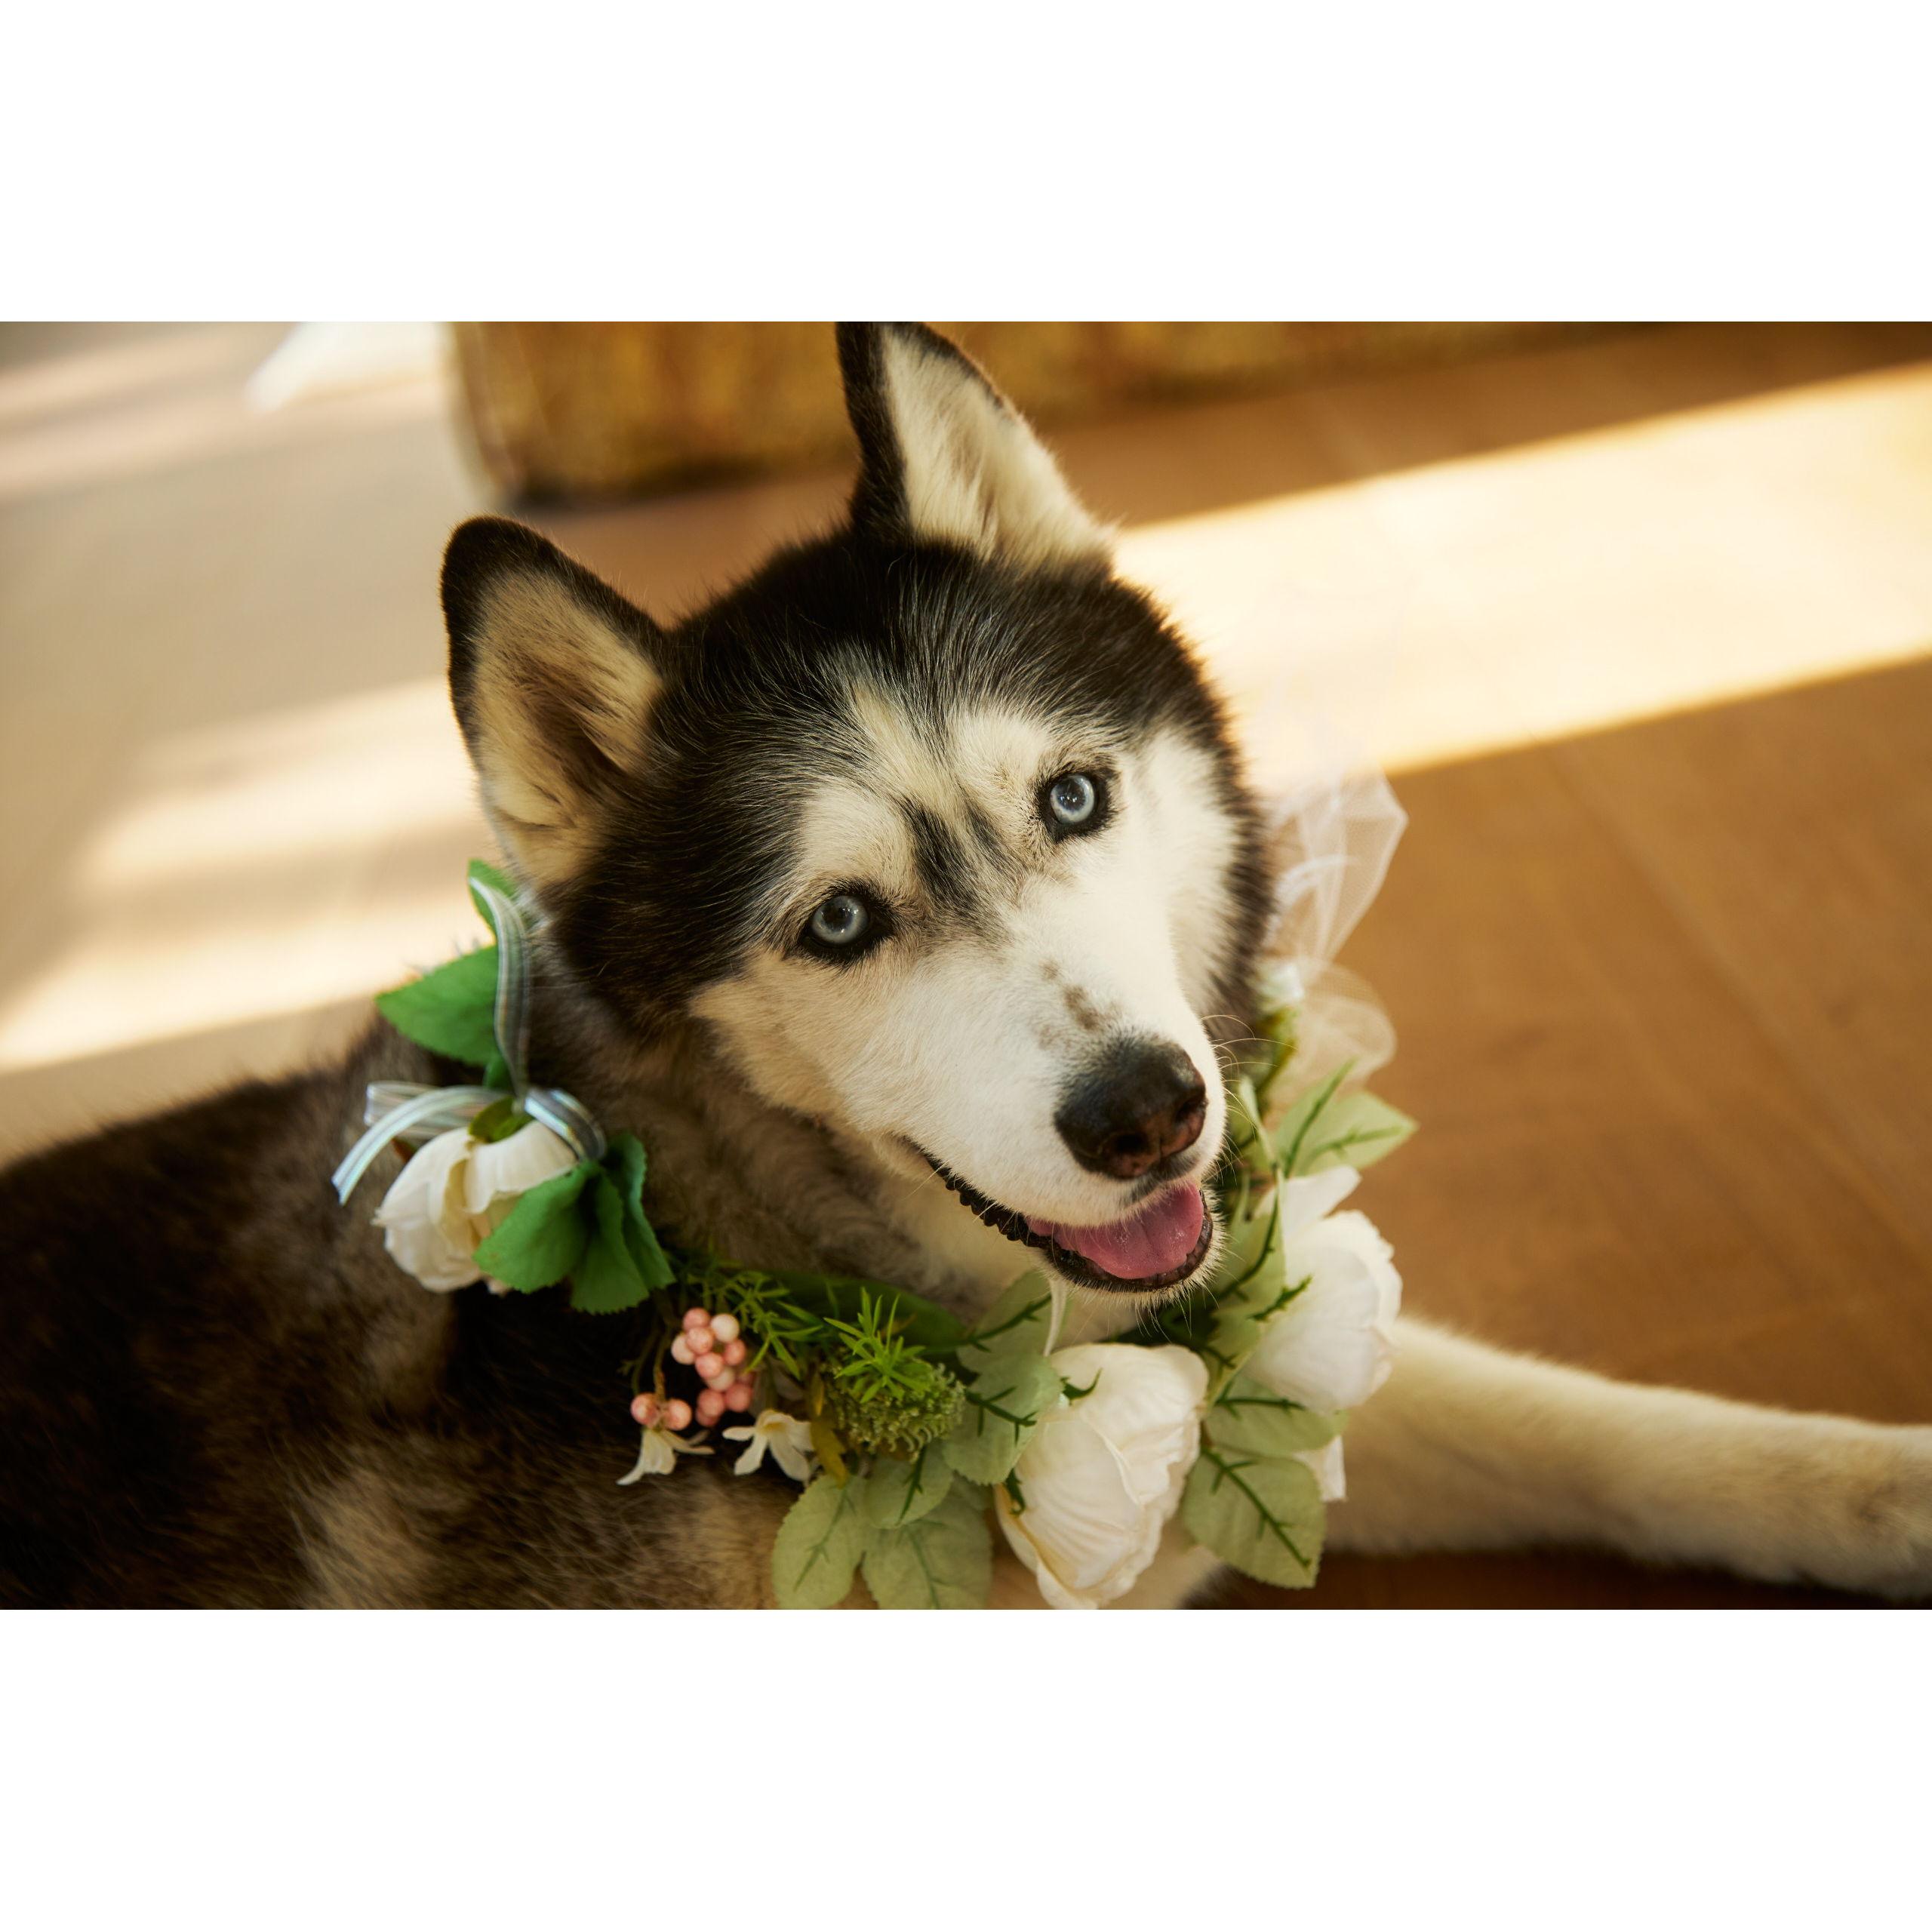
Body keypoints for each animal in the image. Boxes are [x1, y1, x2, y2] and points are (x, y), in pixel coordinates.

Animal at [3, 321, 1929, 1608]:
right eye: (840, 921)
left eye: (1069, 794)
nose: (1149, 1111)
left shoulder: (1230, 1376)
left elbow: (1605, 1422)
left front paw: (1883, 1488)